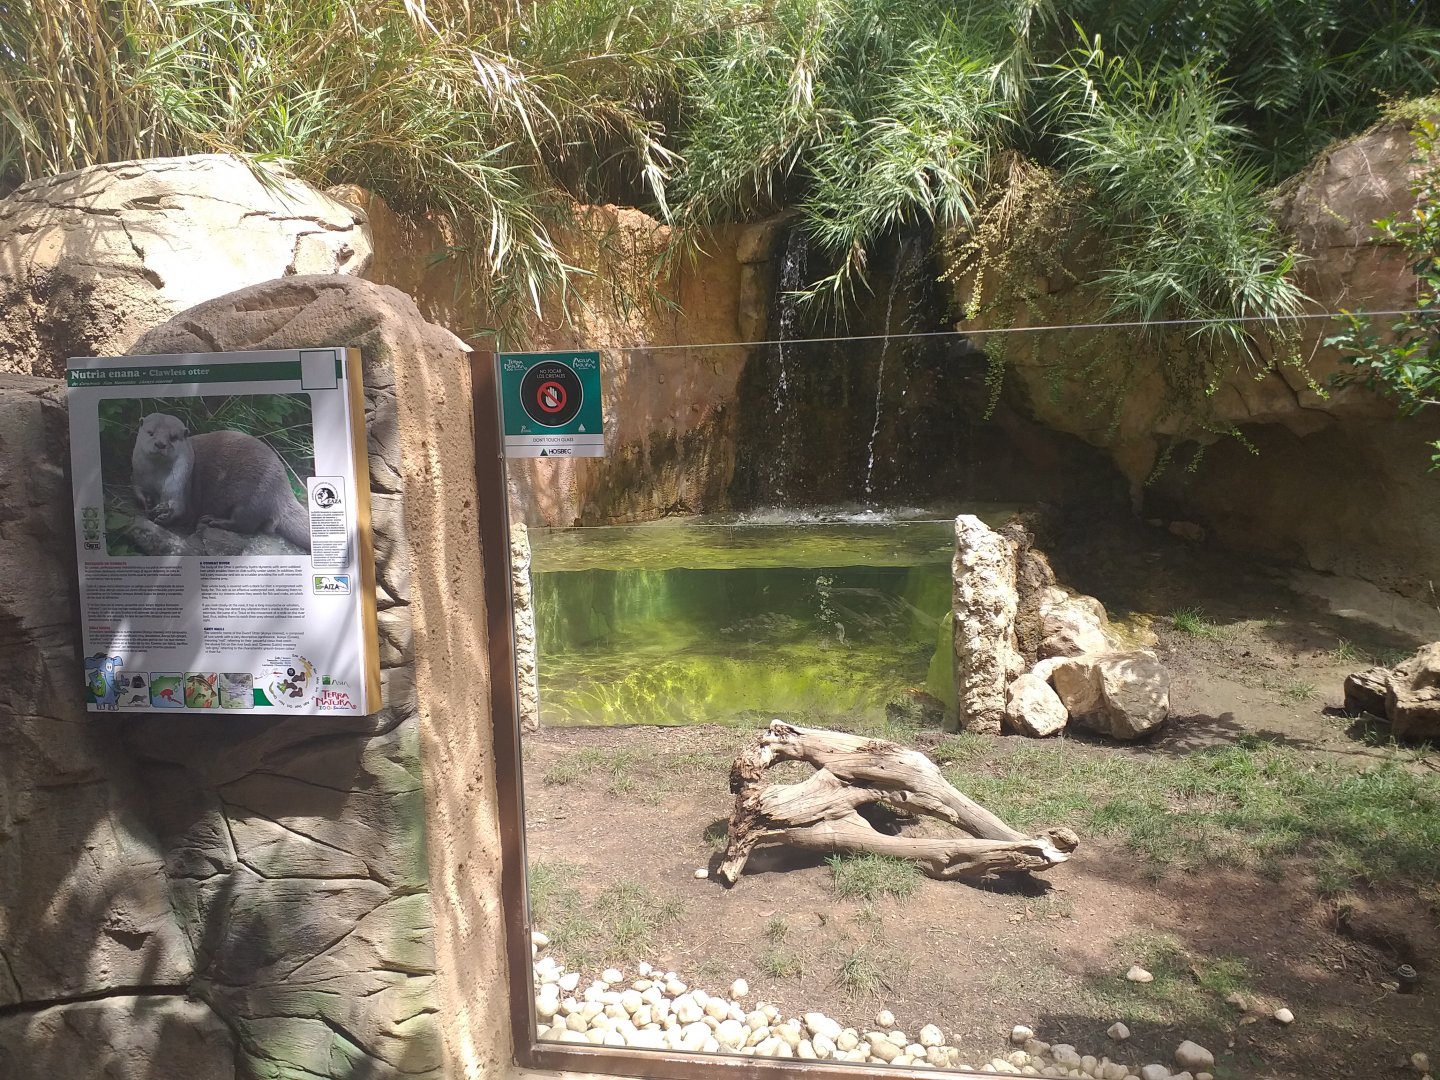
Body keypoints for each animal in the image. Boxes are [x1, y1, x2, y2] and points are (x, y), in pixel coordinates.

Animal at [130, 412, 312, 553]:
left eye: (173, 438)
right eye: (150, 432)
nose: (160, 444)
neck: (157, 479)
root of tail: (285, 490)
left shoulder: (180, 483)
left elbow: (181, 508)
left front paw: (165, 516)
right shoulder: (138, 477)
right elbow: (137, 491)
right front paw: (147, 502)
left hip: (255, 498)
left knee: (245, 524)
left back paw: (212, 520)